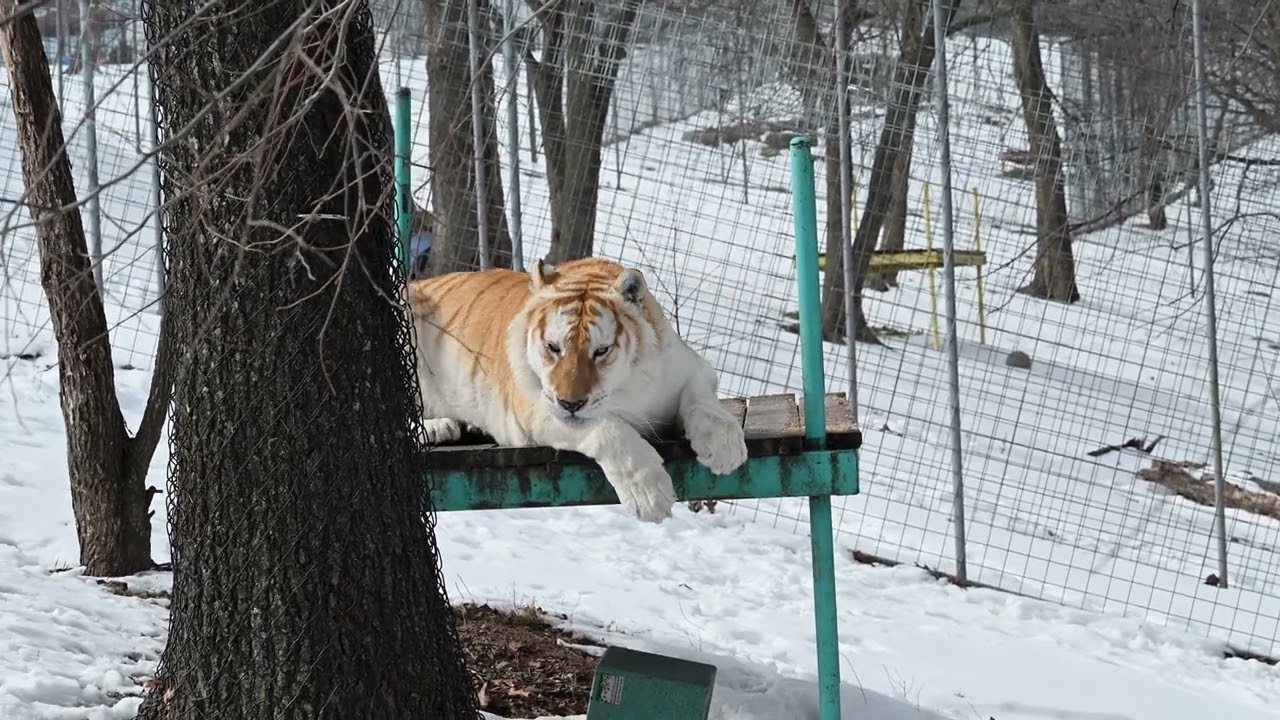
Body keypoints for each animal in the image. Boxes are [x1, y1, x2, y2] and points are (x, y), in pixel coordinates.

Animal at [406, 257, 749, 523]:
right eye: (553, 347)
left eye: (601, 351)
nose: (570, 402)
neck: (627, 390)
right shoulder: (533, 411)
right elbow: (610, 431)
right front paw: (650, 495)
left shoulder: (691, 367)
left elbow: (704, 402)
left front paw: (724, 447)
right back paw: (438, 426)